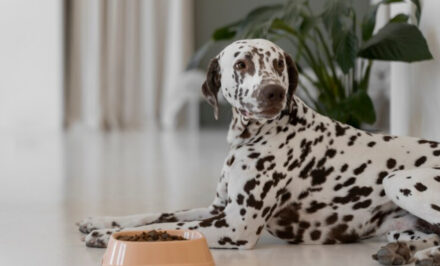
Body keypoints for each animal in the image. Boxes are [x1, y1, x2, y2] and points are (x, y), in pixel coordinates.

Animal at [77, 38, 440, 264]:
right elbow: (158, 214)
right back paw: (405, 252)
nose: (273, 92)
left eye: (279, 64)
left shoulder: (236, 225)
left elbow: (170, 229)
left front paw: (108, 234)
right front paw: (100, 220)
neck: (252, 138)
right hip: (397, 223)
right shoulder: (217, 207)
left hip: (398, 180)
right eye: (241, 64)